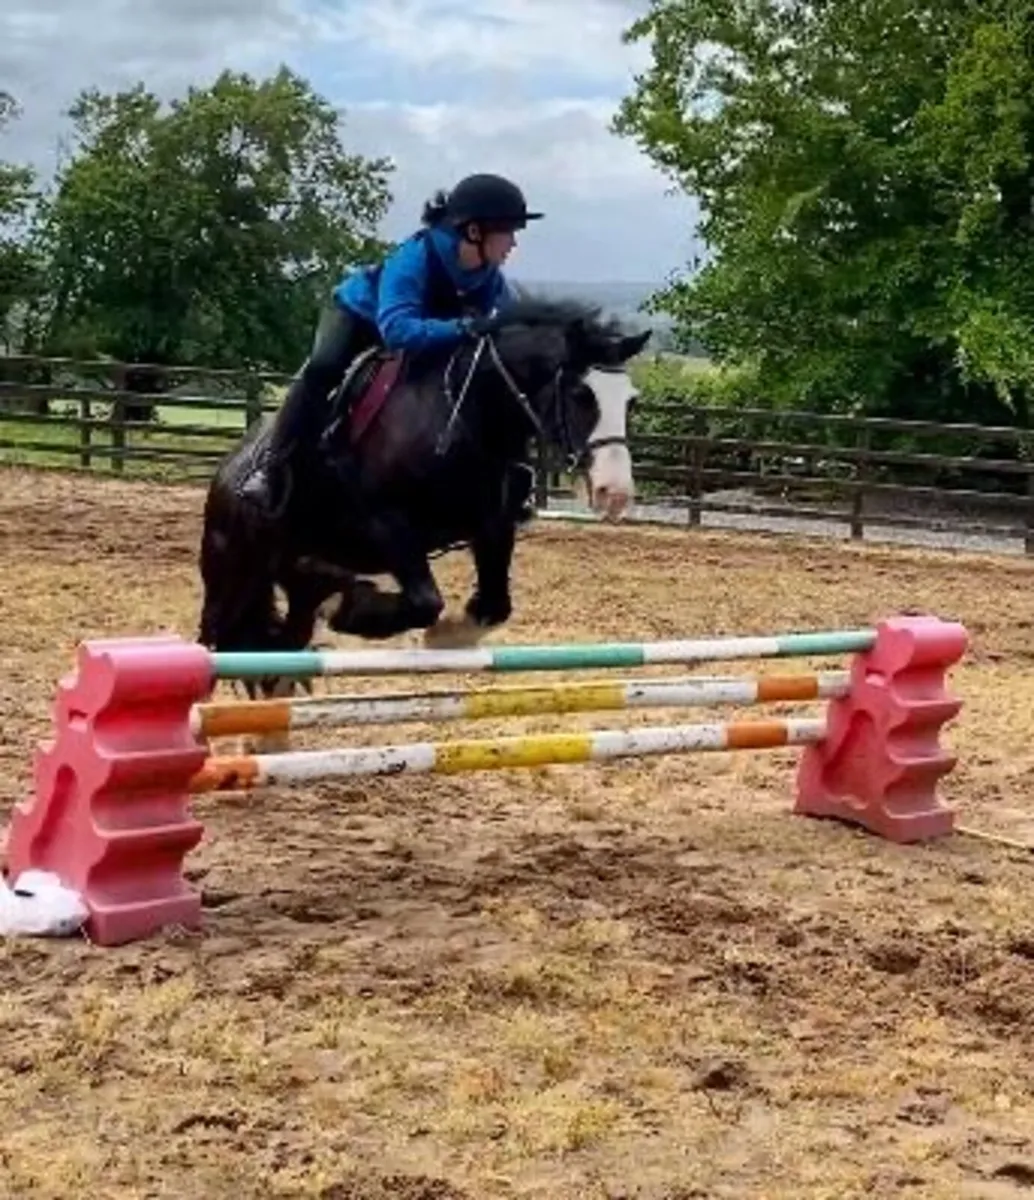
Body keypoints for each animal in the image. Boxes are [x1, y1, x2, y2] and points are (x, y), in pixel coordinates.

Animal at [197, 293, 650, 744]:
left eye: (631, 401)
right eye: (581, 393)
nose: (615, 493)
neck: (465, 414)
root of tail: (229, 468)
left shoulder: (492, 526)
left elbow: (494, 606)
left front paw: (447, 633)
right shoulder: (389, 524)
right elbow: (425, 602)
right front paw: (353, 610)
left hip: (296, 576)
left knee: (285, 644)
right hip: (234, 571)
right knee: (215, 640)